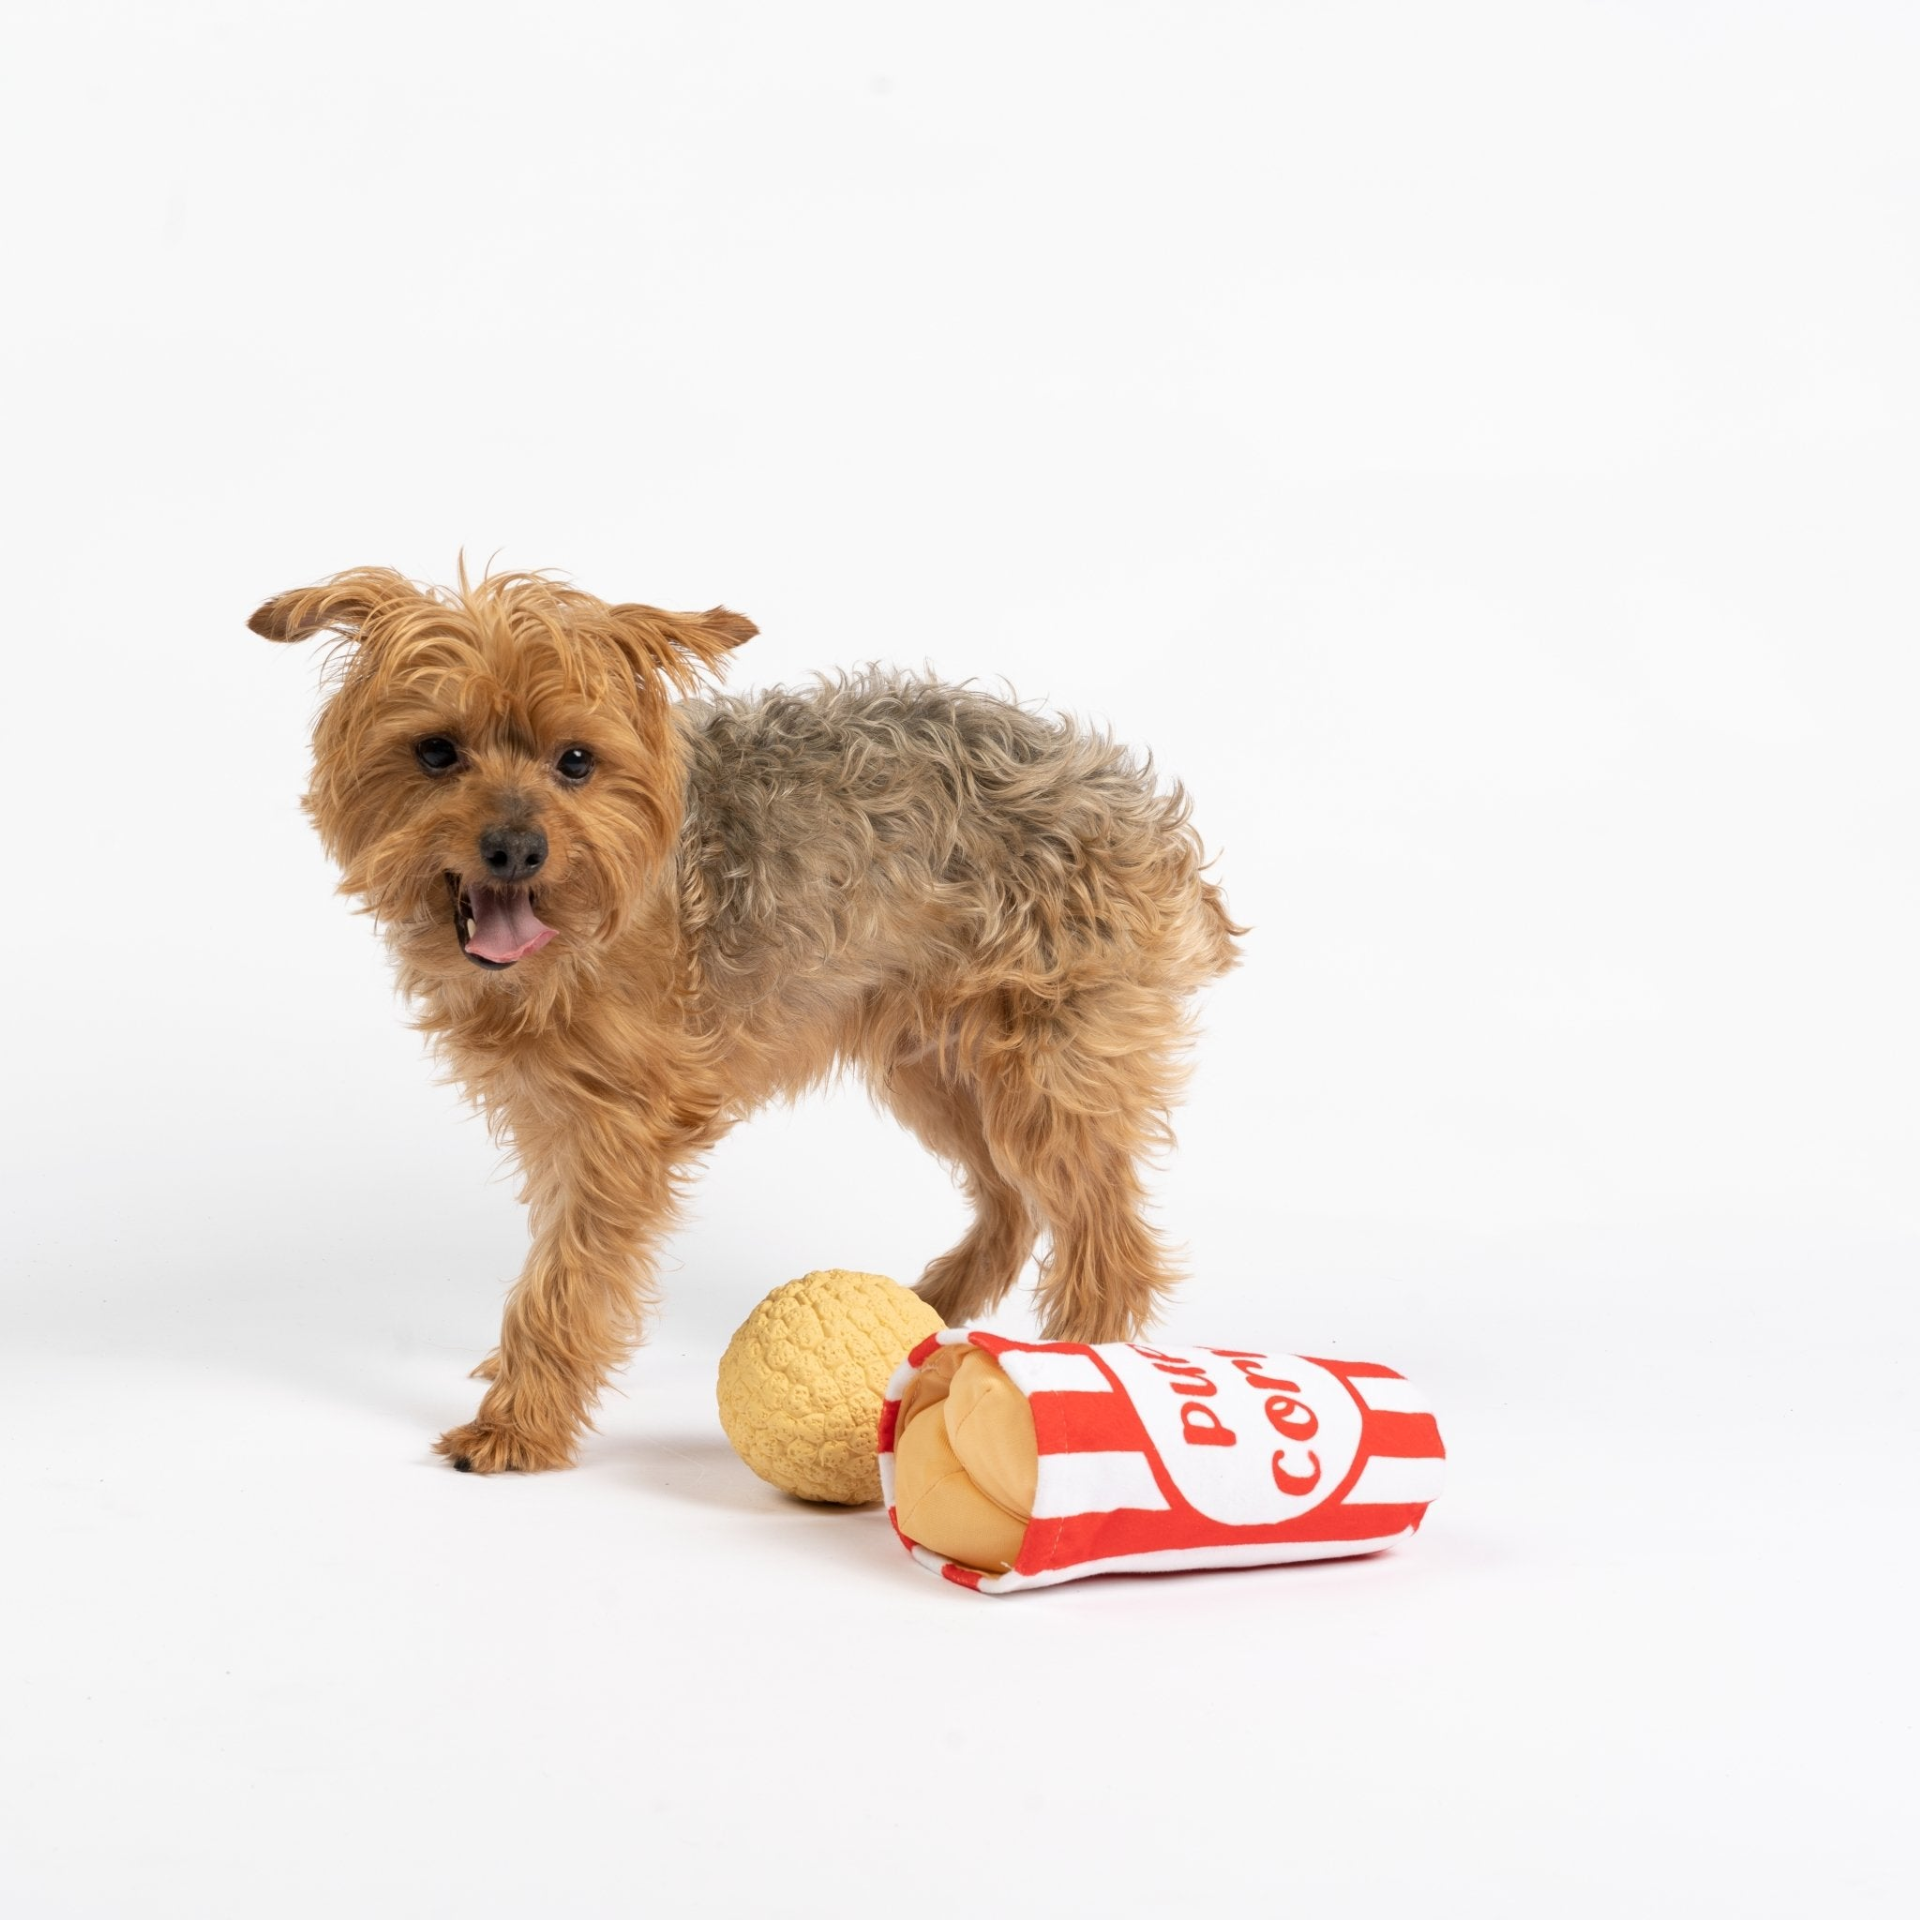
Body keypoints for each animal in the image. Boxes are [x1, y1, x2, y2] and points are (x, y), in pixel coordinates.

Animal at [251, 564, 1244, 1466]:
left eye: (575, 760)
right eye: (436, 752)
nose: (516, 848)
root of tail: (1141, 817)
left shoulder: (618, 1132)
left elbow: (567, 1280)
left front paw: (519, 1423)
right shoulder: (556, 1118)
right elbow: (554, 1262)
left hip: (1046, 1071)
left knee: (1105, 1237)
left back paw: (1077, 1366)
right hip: (937, 1064)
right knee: (1011, 1199)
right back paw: (941, 1302)